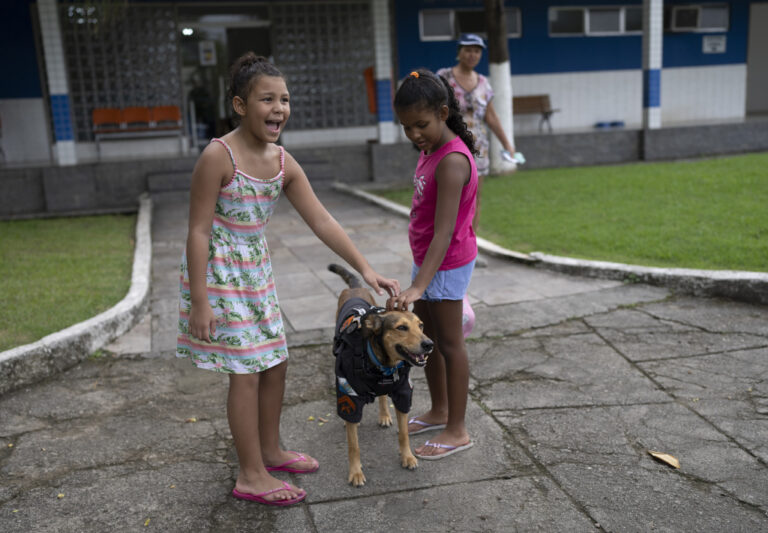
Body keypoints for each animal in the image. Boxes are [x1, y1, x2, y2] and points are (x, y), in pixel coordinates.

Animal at [328, 262, 432, 486]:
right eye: (401, 327)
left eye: (421, 325)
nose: (429, 344)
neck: (382, 365)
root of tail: (355, 287)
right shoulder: (349, 396)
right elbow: (354, 445)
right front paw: (355, 473)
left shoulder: (403, 393)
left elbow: (404, 433)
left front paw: (407, 457)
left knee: (383, 396)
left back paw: (384, 415)